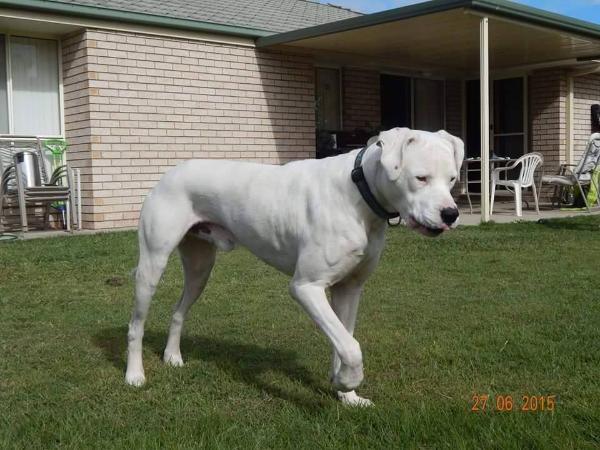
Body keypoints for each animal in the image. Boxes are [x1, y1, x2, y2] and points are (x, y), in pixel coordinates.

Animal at [125, 127, 464, 408]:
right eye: (420, 178)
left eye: (451, 179)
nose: (451, 213)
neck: (359, 190)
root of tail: (170, 172)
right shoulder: (306, 287)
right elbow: (351, 346)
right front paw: (347, 381)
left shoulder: (349, 289)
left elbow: (343, 340)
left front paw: (347, 394)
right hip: (152, 266)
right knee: (136, 325)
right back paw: (134, 375)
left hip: (200, 269)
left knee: (178, 310)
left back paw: (172, 356)